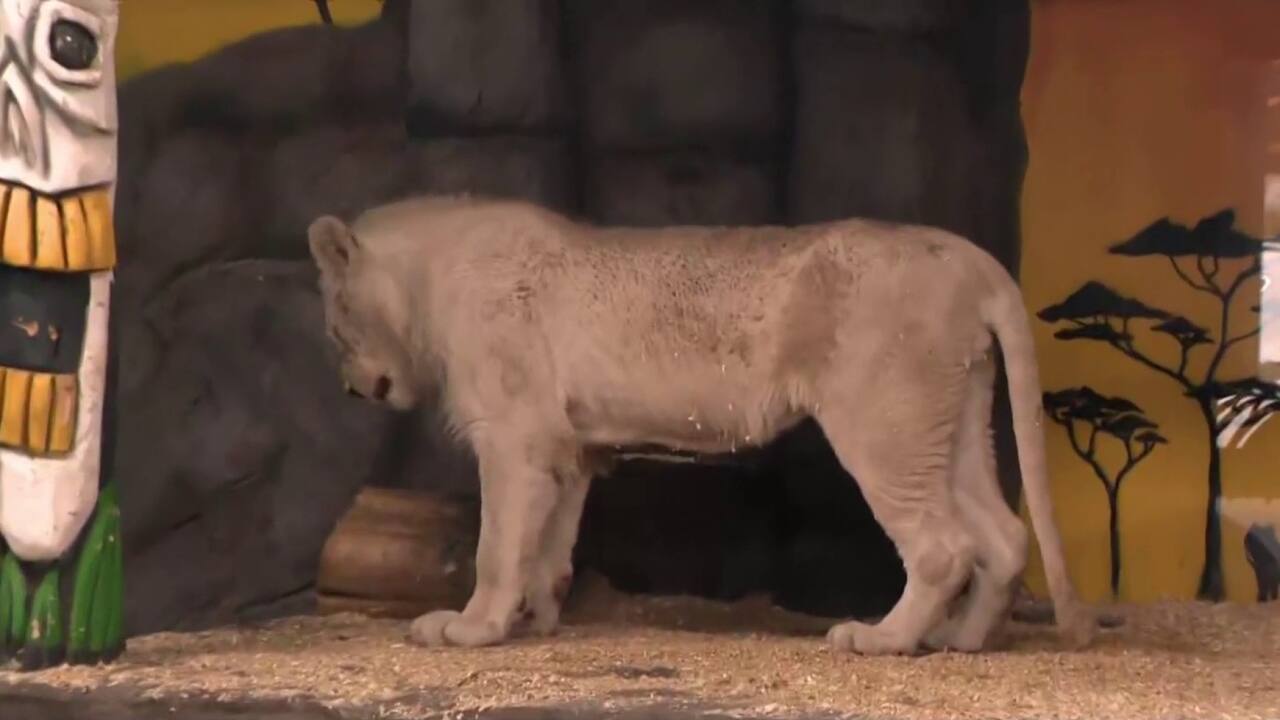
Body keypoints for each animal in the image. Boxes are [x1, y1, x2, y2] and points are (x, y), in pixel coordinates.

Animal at [306, 194, 1095, 655]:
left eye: (335, 321)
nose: (349, 388)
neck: (427, 281)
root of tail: (972, 258)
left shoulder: (511, 436)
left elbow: (498, 547)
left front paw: (472, 629)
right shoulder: (566, 446)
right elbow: (550, 546)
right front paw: (536, 619)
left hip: (885, 420)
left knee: (943, 546)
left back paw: (882, 639)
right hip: (952, 420)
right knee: (1004, 534)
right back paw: (963, 639)